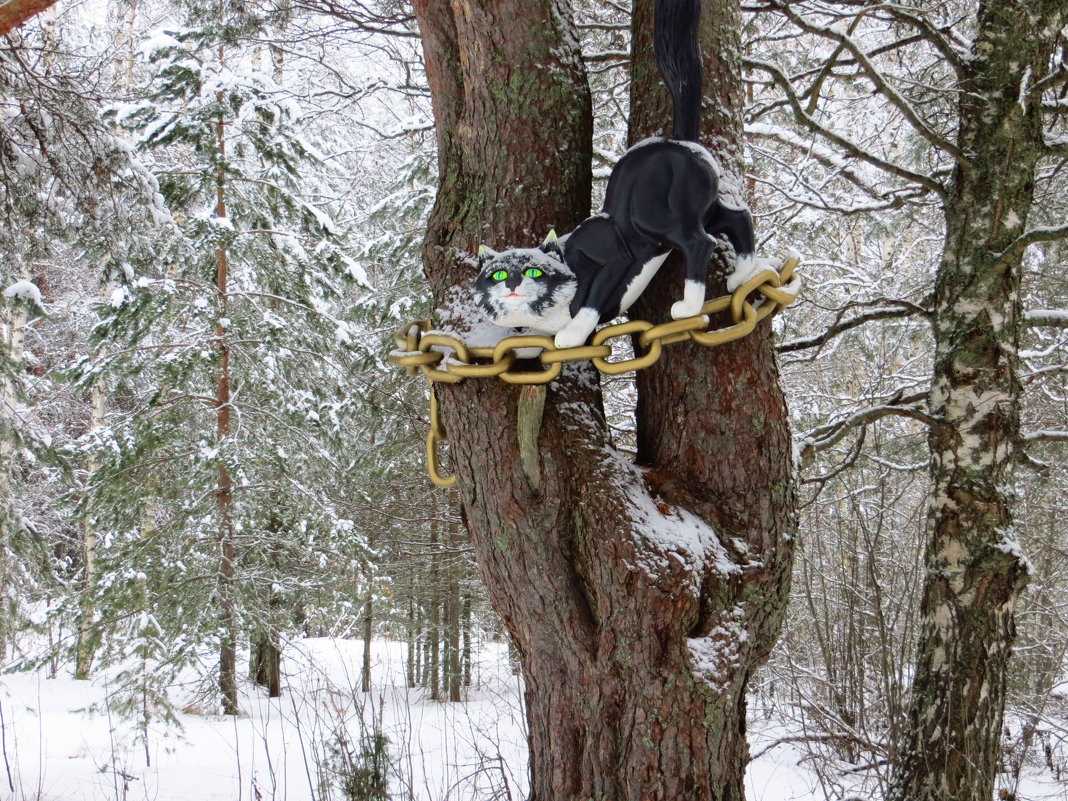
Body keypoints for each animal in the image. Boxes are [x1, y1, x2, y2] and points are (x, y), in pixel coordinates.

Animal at [474, 0, 760, 348]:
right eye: (498, 275)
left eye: (533, 272)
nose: (512, 283)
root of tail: (679, 139)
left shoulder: (610, 252)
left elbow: (591, 302)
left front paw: (572, 335)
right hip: (702, 206)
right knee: (738, 217)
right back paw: (740, 276)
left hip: (657, 217)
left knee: (700, 242)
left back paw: (688, 306)